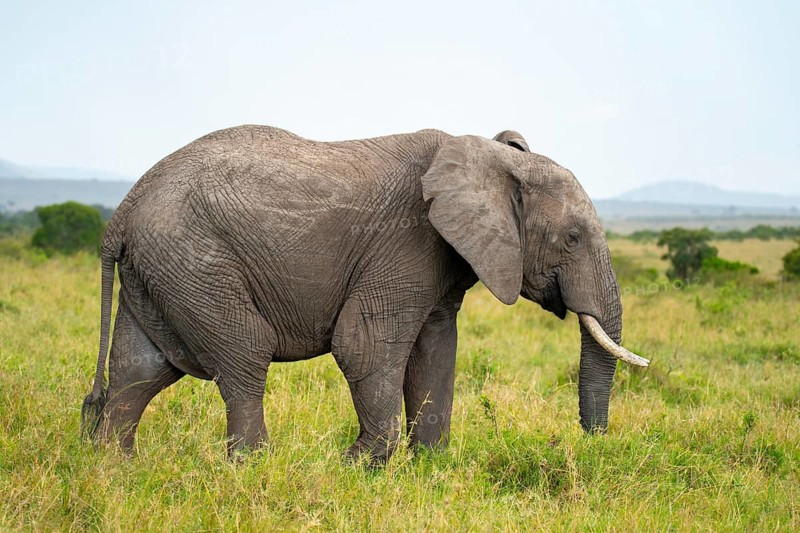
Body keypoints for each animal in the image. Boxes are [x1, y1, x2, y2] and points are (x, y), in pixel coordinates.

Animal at [81, 124, 648, 462]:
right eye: (572, 238)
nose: (591, 445)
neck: (484, 153)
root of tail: (124, 208)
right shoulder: (406, 242)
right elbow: (365, 347)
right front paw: (362, 467)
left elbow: (435, 353)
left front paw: (431, 467)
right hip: (196, 261)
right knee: (243, 356)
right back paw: (255, 468)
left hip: (162, 270)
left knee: (140, 370)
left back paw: (115, 469)